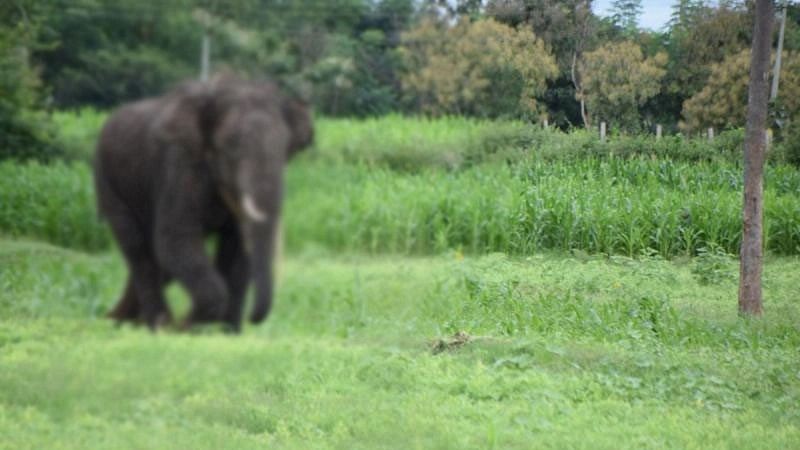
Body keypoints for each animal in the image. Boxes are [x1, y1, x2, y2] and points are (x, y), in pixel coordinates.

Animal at [95, 76, 314, 330]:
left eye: (285, 150)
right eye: (230, 148)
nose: (252, 318)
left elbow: (237, 248)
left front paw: (226, 332)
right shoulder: (180, 166)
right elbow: (176, 240)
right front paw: (185, 327)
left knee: (158, 260)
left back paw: (124, 320)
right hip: (108, 184)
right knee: (139, 249)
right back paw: (157, 324)